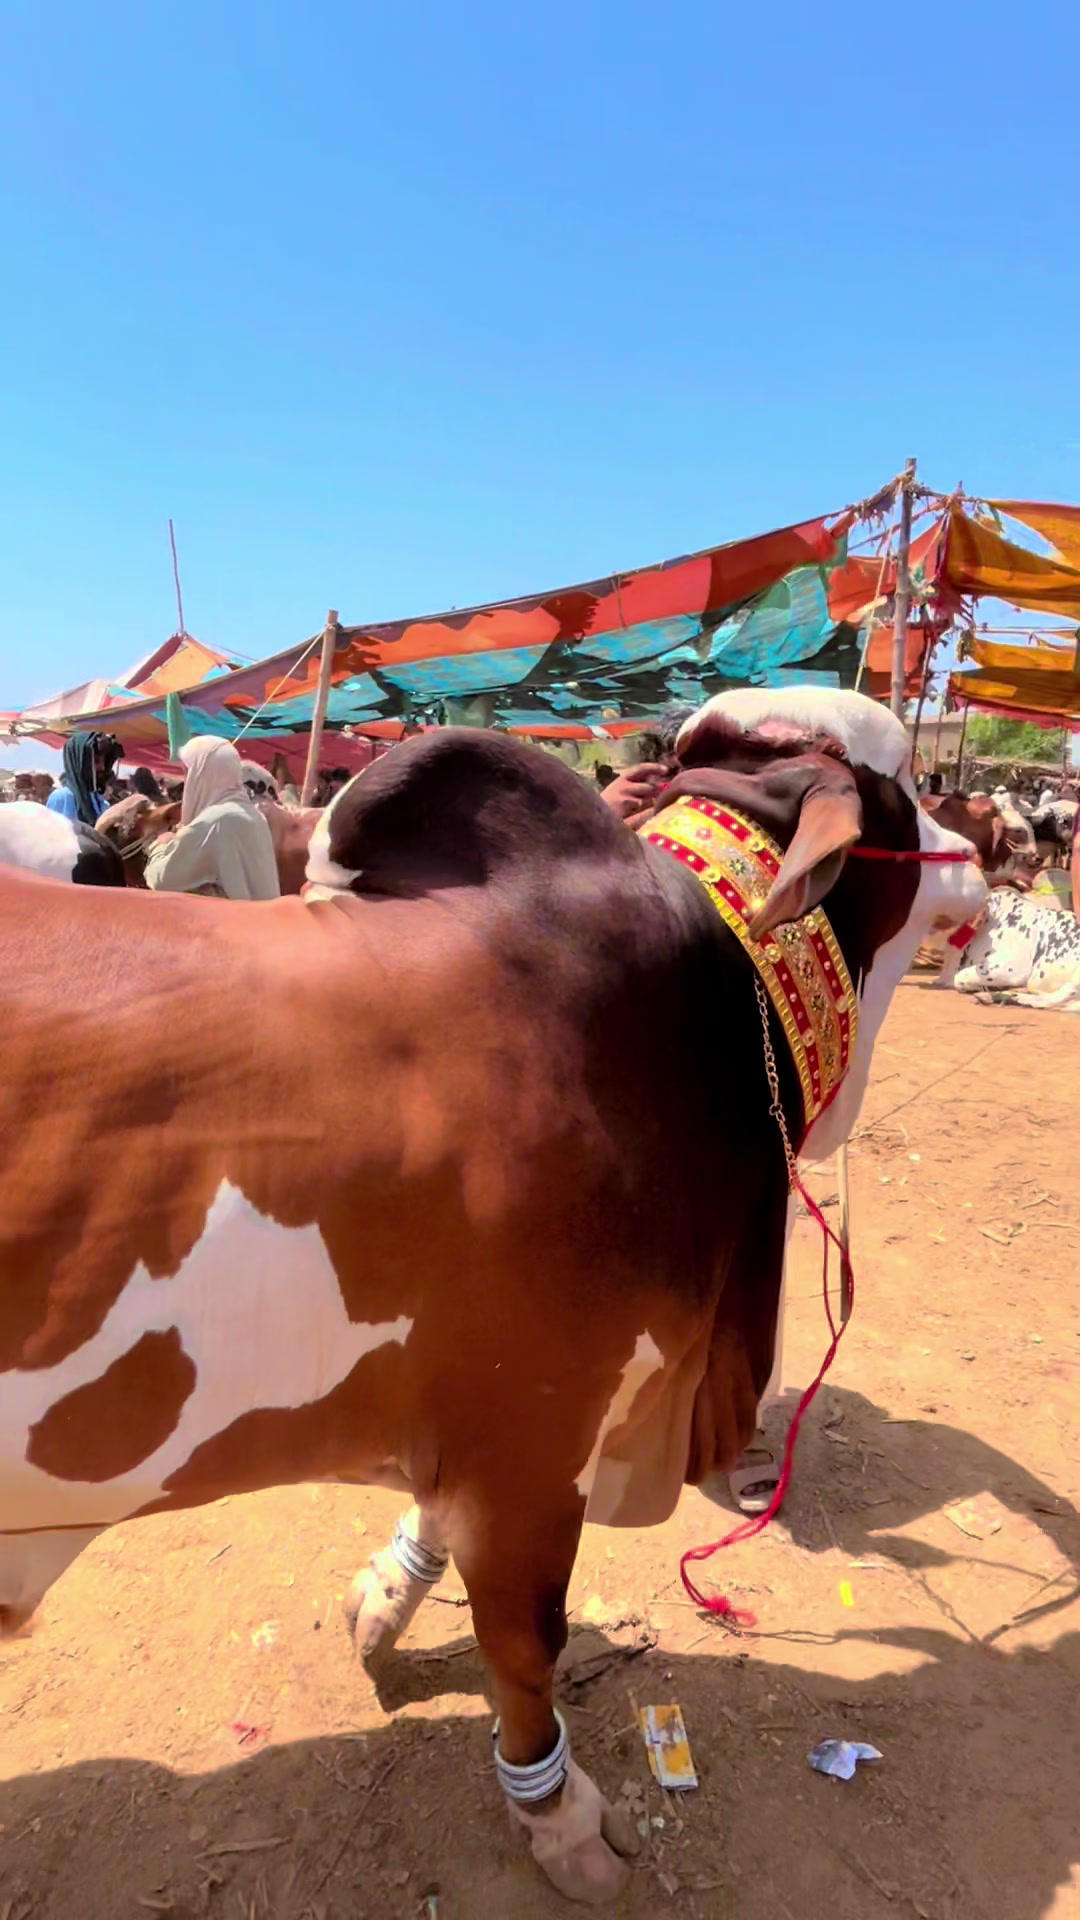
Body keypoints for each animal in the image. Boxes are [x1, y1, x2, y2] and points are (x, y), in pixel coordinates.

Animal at [0, 688, 983, 1905]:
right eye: (902, 783)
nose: (980, 852)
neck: (702, 1009)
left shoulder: (477, 1411)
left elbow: (431, 1521)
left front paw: (382, 1599)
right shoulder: (540, 1436)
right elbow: (526, 1641)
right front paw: (554, 1811)